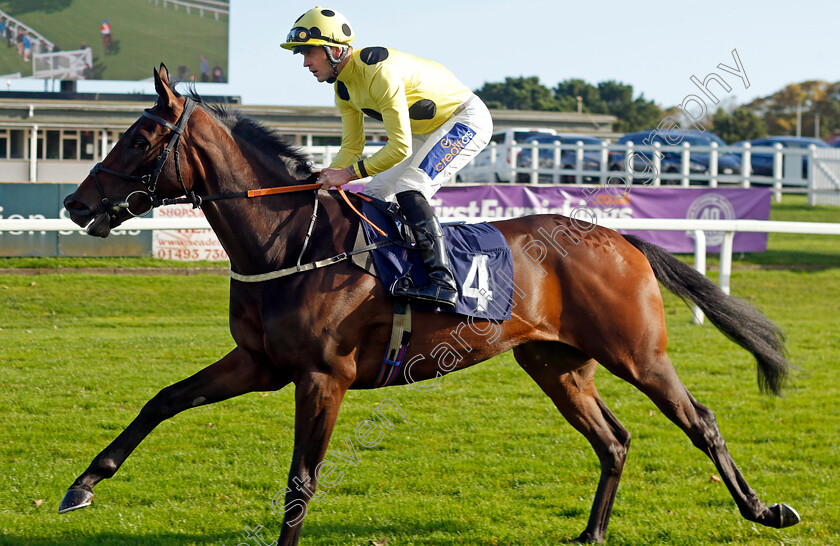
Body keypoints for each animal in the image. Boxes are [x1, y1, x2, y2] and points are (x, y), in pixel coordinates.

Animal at [60, 66, 800, 540]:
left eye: (139, 139)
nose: (73, 203)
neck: (291, 244)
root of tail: (619, 237)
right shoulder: (260, 365)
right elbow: (163, 400)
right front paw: (83, 485)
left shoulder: (323, 377)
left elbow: (302, 481)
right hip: (555, 363)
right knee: (613, 440)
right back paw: (591, 534)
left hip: (637, 352)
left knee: (700, 420)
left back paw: (765, 510)